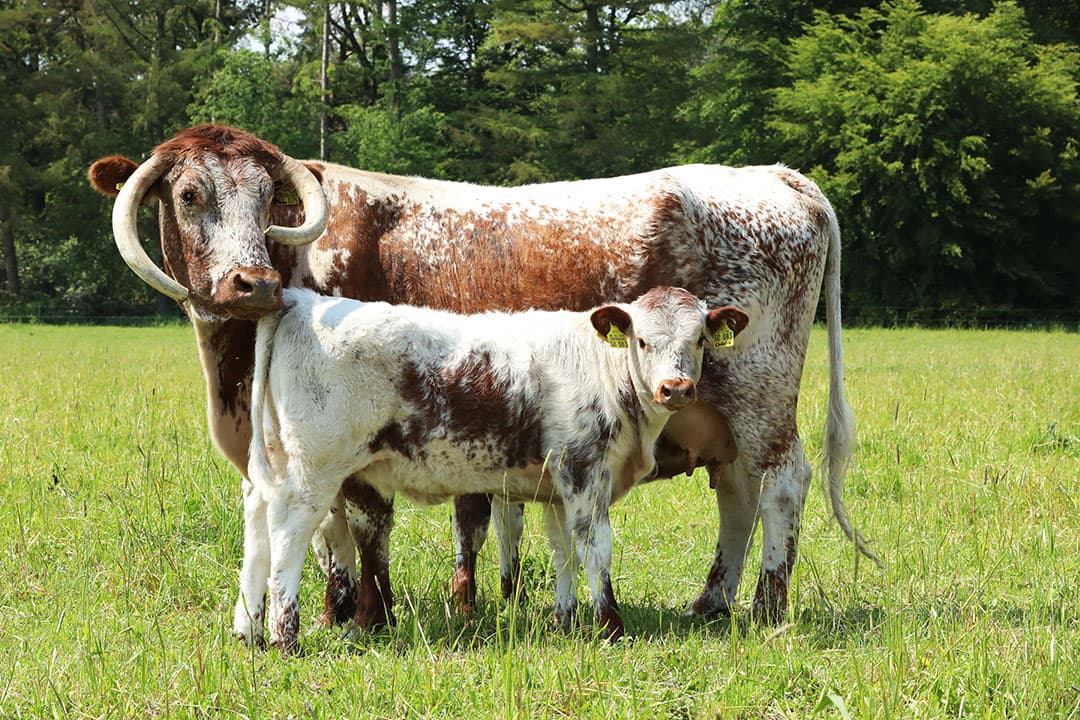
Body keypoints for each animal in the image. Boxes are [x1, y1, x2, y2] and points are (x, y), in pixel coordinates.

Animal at [241, 285, 750, 650]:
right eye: (642, 341)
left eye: (699, 339)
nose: (676, 388)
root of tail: (303, 300)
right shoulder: (585, 472)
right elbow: (596, 548)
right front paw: (611, 626)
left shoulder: (555, 486)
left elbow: (562, 550)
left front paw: (565, 621)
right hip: (314, 474)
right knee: (286, 537)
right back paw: (286, 638)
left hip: (278, 466)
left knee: (257, 525)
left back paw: (249, 632)